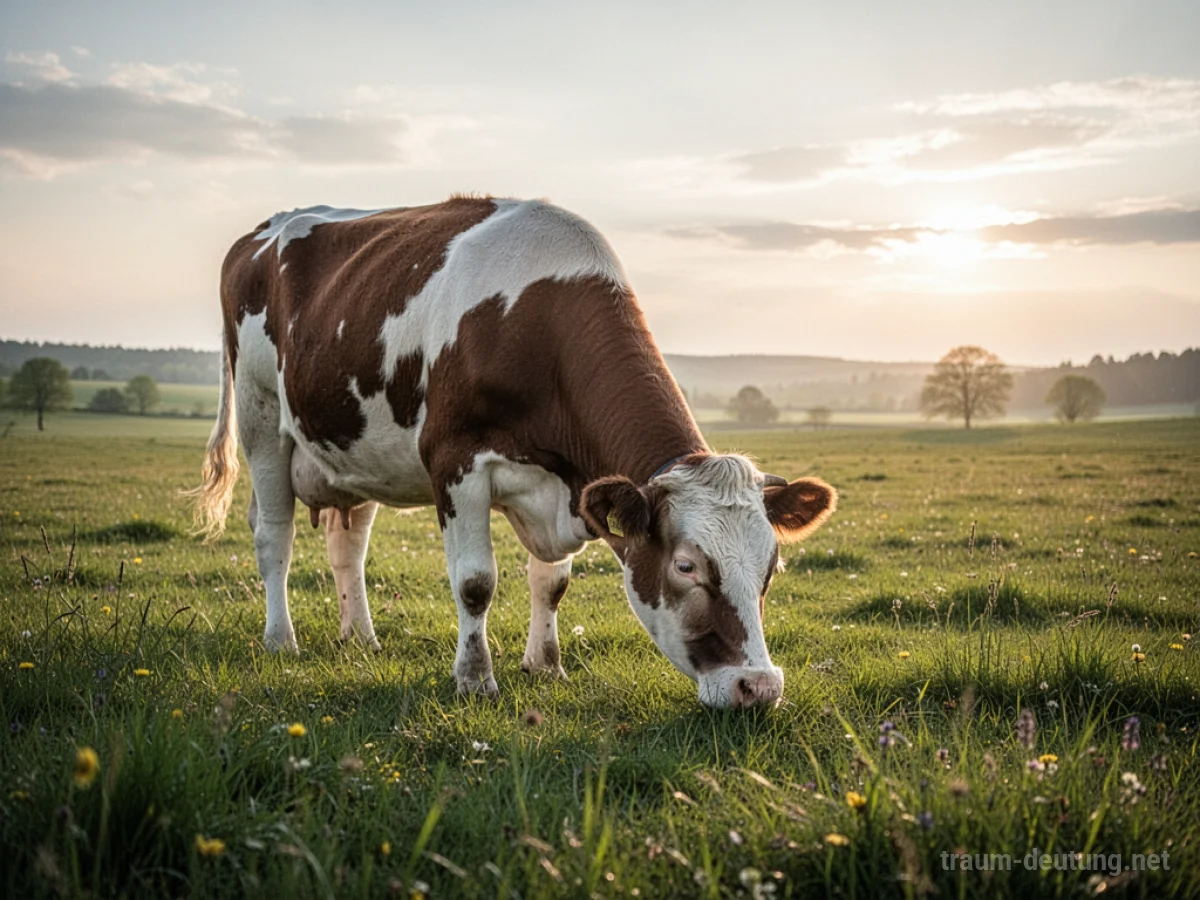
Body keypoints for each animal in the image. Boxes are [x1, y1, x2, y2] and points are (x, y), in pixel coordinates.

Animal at [189, 196, 836, 708]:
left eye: (771, 567)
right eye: (685, 566)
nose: (760, 688)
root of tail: (264, 228)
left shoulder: (570, 486)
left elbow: (551, 584)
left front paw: (545, 666)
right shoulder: (456, 463)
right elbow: (475, 582)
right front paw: (475, 680)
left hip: (351, 447)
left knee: (348, 545)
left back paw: (361, 638)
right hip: (261, 419)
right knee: (274, 538)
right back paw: (282, 641)